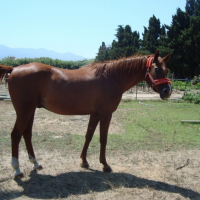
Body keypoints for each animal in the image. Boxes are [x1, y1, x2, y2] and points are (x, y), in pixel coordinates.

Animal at [0, 50, 172, 178]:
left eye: (167, 70)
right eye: (157, 69)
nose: (167, 91)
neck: (111, 77)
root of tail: (14, 69)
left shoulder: (95, 115)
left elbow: (88, 136)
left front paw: (84, 162)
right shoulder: (106, 114)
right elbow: (103, 139)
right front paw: (105, 165)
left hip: (31, 110)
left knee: (27, 134)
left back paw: (36, 163)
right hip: (24, 111)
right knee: (16, 135)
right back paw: (17, 170)